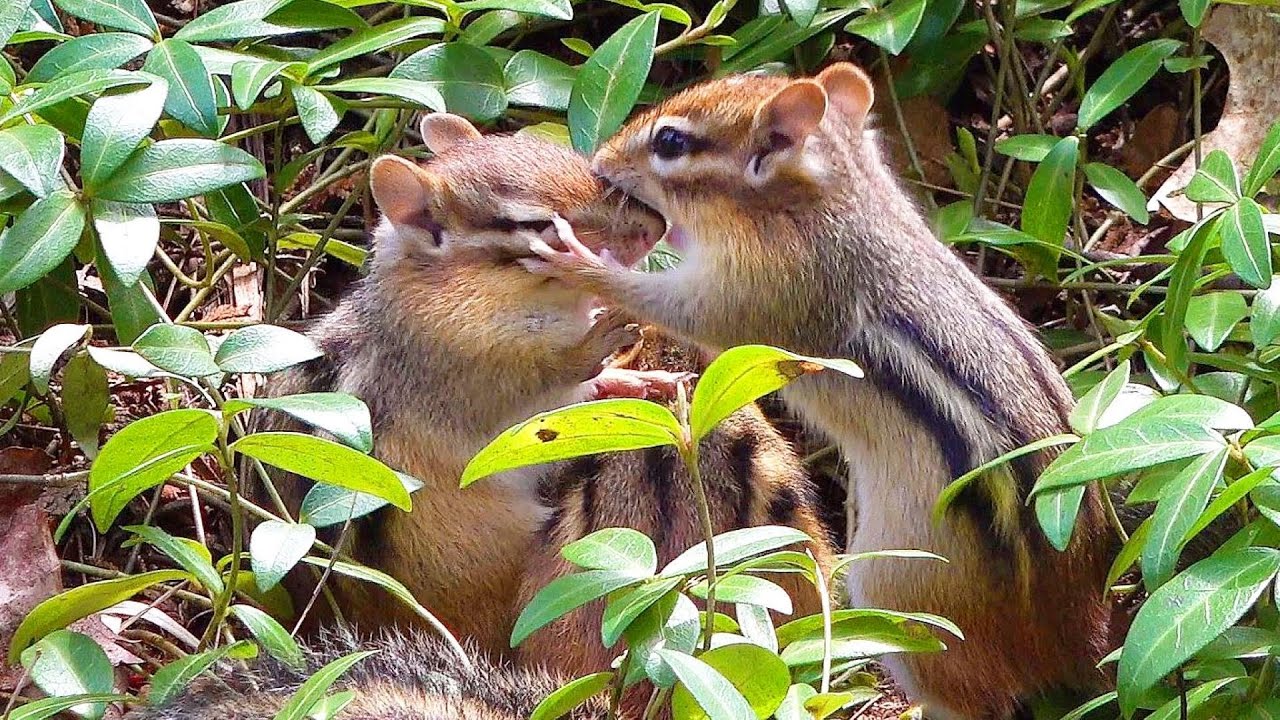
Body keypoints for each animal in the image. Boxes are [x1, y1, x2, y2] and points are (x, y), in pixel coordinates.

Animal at [260, 112, 669, 656]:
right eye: (539, 226)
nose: (657, 226)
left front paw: (636, 377)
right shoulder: (478, 370)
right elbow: (556, 374)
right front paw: (601, 338)